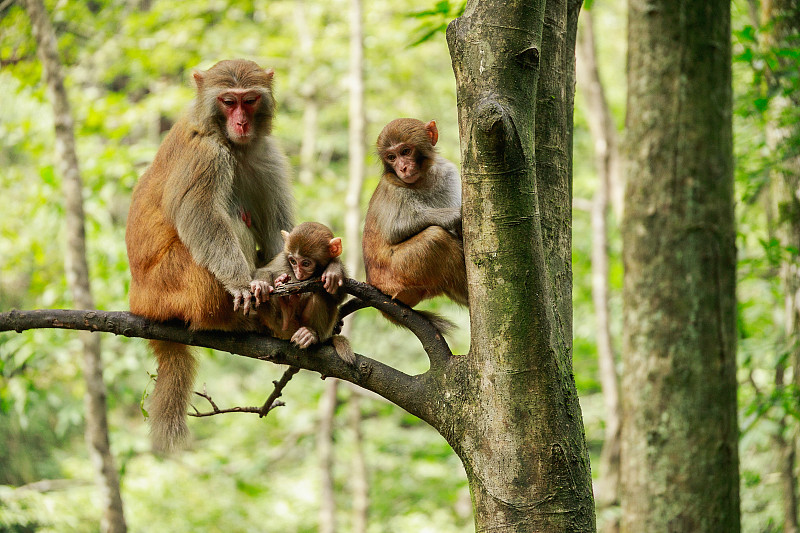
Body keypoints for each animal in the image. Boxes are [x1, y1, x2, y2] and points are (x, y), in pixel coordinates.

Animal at [126, 59, 310, 454]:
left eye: (249, 100)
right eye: (228, 101)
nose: (240, 123)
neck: (230, 143)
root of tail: (140, 303)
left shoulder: (266, 155)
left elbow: (278, 232)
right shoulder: (206, 154)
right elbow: (202, 215)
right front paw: (242, 284)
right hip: (177, 283)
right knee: (230, 224)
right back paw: (234, 319)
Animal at [253, 220, 354, 362]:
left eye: (306, 264)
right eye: (293, 261)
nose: (299, 273)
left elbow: (338, 297)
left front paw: (333, 270)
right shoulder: (283, 258)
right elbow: (266, 271)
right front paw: (261, 284)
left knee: (321, 294)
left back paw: (311, 334)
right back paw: (286, 312)